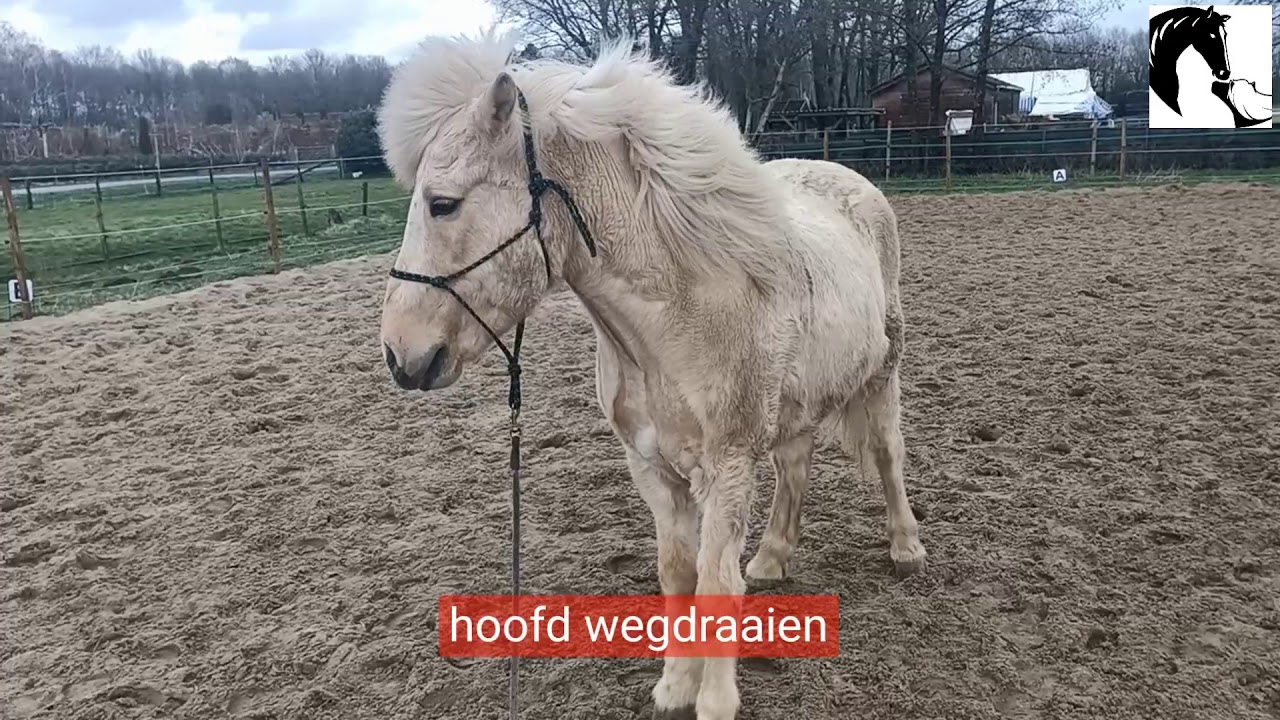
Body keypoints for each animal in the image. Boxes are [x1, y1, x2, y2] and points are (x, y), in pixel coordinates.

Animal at [376, 30, 927, 720]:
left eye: (442, 204)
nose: (400, 353)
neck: (677, 318)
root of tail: (850, 181)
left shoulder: (727, 466)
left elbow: (715, 583)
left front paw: (714, 700)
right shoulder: (651, 467)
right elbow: (678, 573)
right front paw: (674, 686)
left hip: (882, 375)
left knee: (886, 453)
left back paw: (906, 548)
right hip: (793, 404)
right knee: (795, 467)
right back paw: (773, 556)